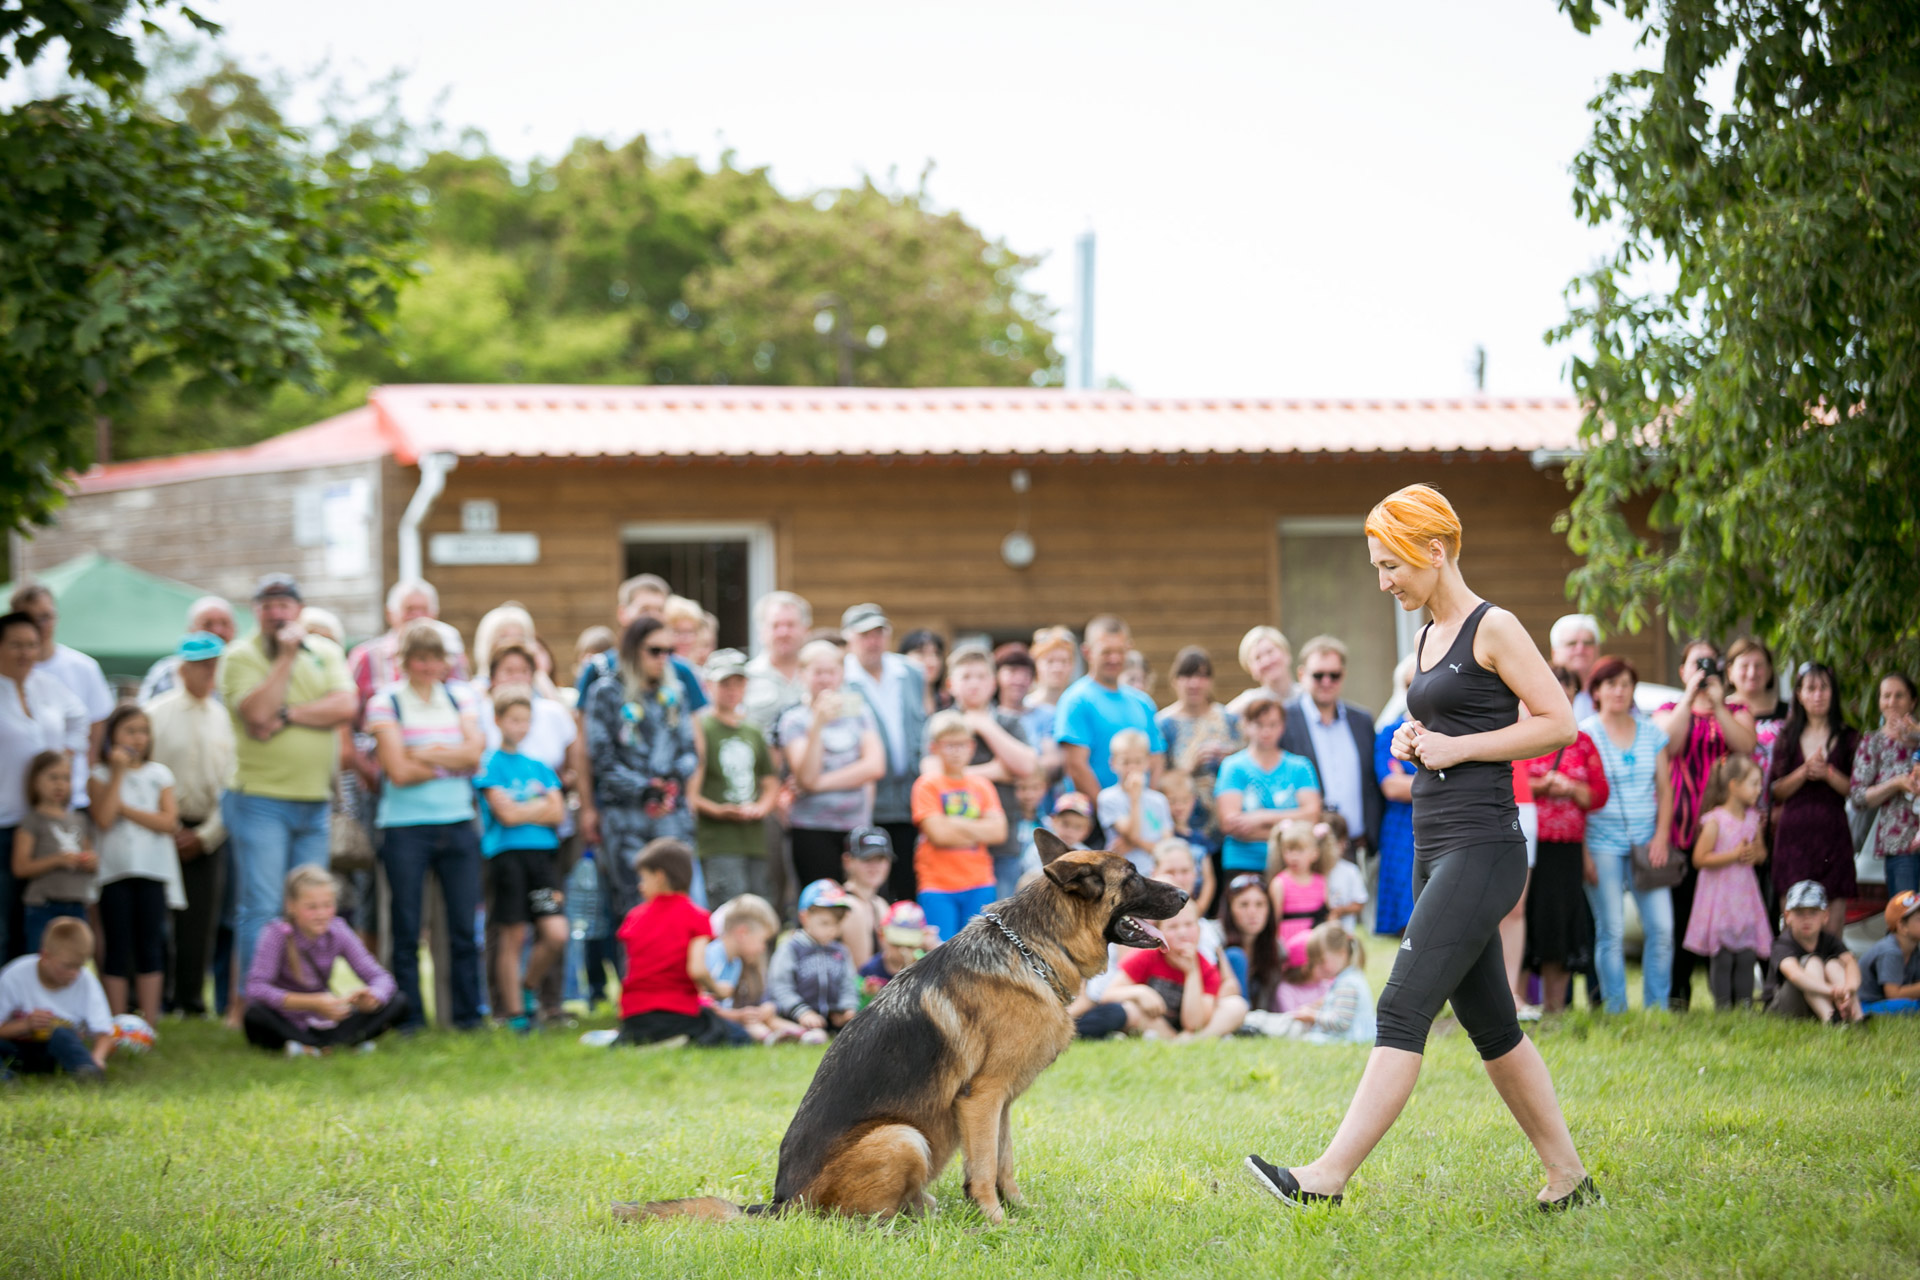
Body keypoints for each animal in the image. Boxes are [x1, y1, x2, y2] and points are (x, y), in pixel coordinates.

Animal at [622, 836, 1182, 1228]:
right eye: (1133, 877)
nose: (1185, 892)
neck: (1033, 950)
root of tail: (781, 1204)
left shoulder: (1001, 1102)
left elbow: (1003, 1164)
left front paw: (1019, 1211)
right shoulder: (981, 1099)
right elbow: (983, 1171)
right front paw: (996, 1223)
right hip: (904, 1137)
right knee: (862, 1222)